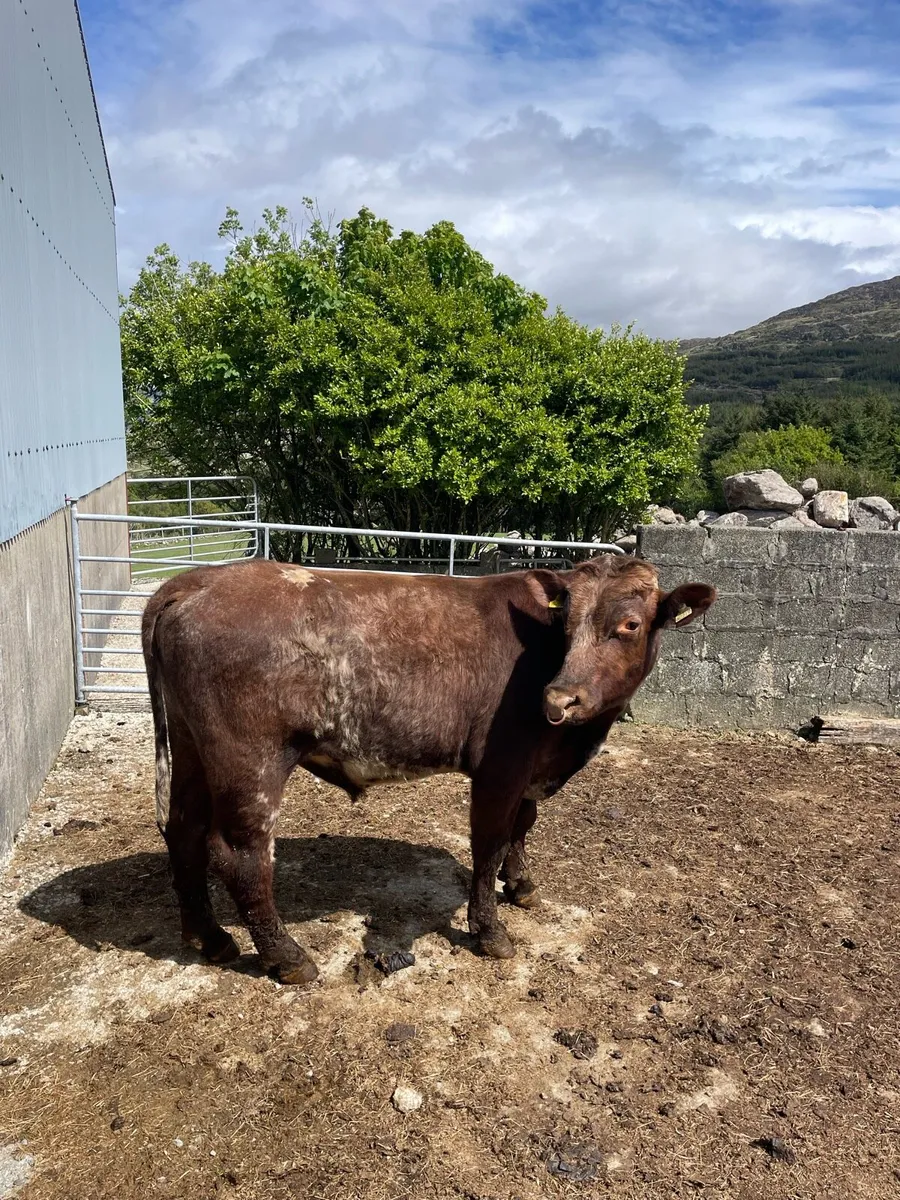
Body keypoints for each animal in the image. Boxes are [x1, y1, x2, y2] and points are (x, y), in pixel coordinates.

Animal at [141, 554, 715, 984]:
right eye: (568, 626)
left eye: (629, 625)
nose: (560, 697)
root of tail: (197, 579)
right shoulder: (499, 769)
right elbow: (490, 845)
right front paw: (491, 932)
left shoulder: (531, 772)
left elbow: (523, 827)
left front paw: (522, 886)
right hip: (249, 762)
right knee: (239, 853)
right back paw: (288, 957)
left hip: (191, 750)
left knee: (183, 831)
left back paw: (210, 937)